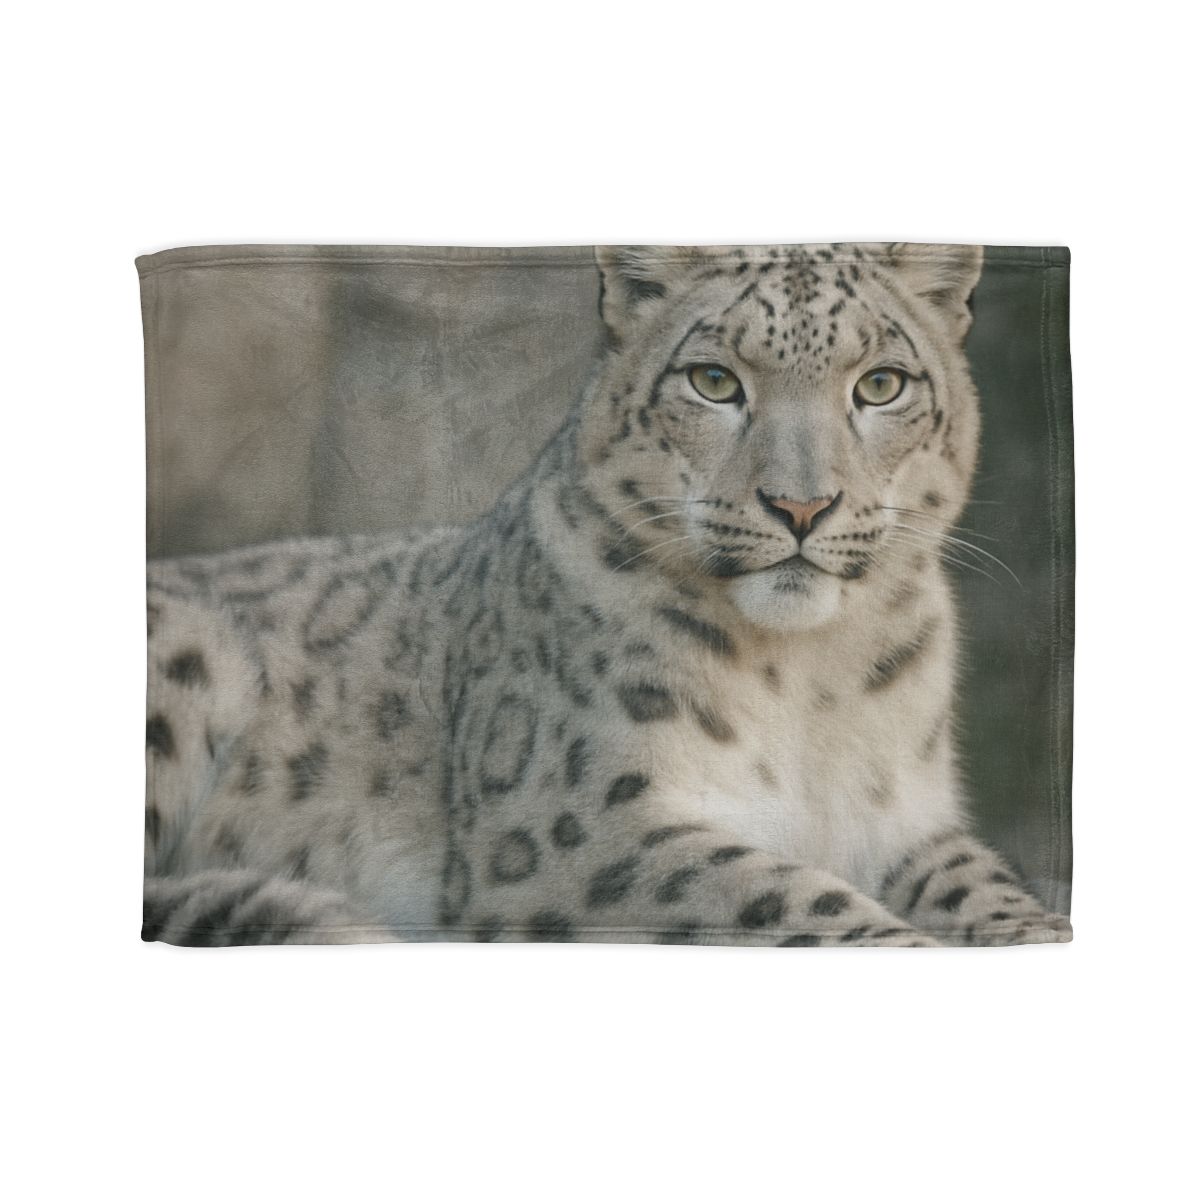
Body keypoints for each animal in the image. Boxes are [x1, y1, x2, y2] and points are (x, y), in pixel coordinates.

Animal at [144, 242, 1071, 947]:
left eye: (881, 384)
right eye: (713, 380)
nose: (801, 506)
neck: (811, 679)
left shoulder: (905, 821)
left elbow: (985, 887)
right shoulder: (581, 820)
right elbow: (785, 894)